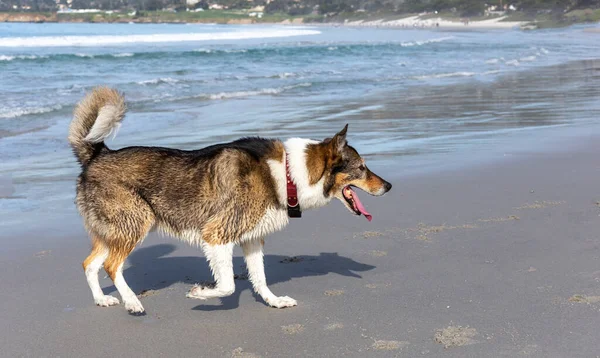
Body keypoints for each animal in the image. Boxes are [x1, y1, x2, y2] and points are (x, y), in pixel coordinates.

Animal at [70, 87, 392, 314]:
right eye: (362, 168)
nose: (389, 186)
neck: (287, 173)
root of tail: (98, 154)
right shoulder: (217, 236)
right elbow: (226, 285)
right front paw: (200, 293)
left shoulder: (252, 239)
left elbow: (260, 279)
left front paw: (274, 301)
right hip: (135, 223)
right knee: (111, 266)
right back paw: (132, 302)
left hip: (116, 231)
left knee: (89, 264)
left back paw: (102, 299)